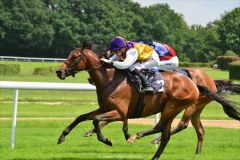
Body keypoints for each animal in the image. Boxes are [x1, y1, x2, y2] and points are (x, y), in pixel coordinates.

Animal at [55, 44, 199, 160]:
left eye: (74, 57)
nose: (58, 72)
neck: (109, 80)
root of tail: (193, 84)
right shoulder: (104, 109)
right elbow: (81, 117)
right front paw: (62, 136)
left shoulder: (120, 113)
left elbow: (96, 120)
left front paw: (106, 140)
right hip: (171, 109)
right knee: (165, 135)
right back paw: (154, 156)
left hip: (172, 106)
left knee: (159, 127)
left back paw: (135, 136)